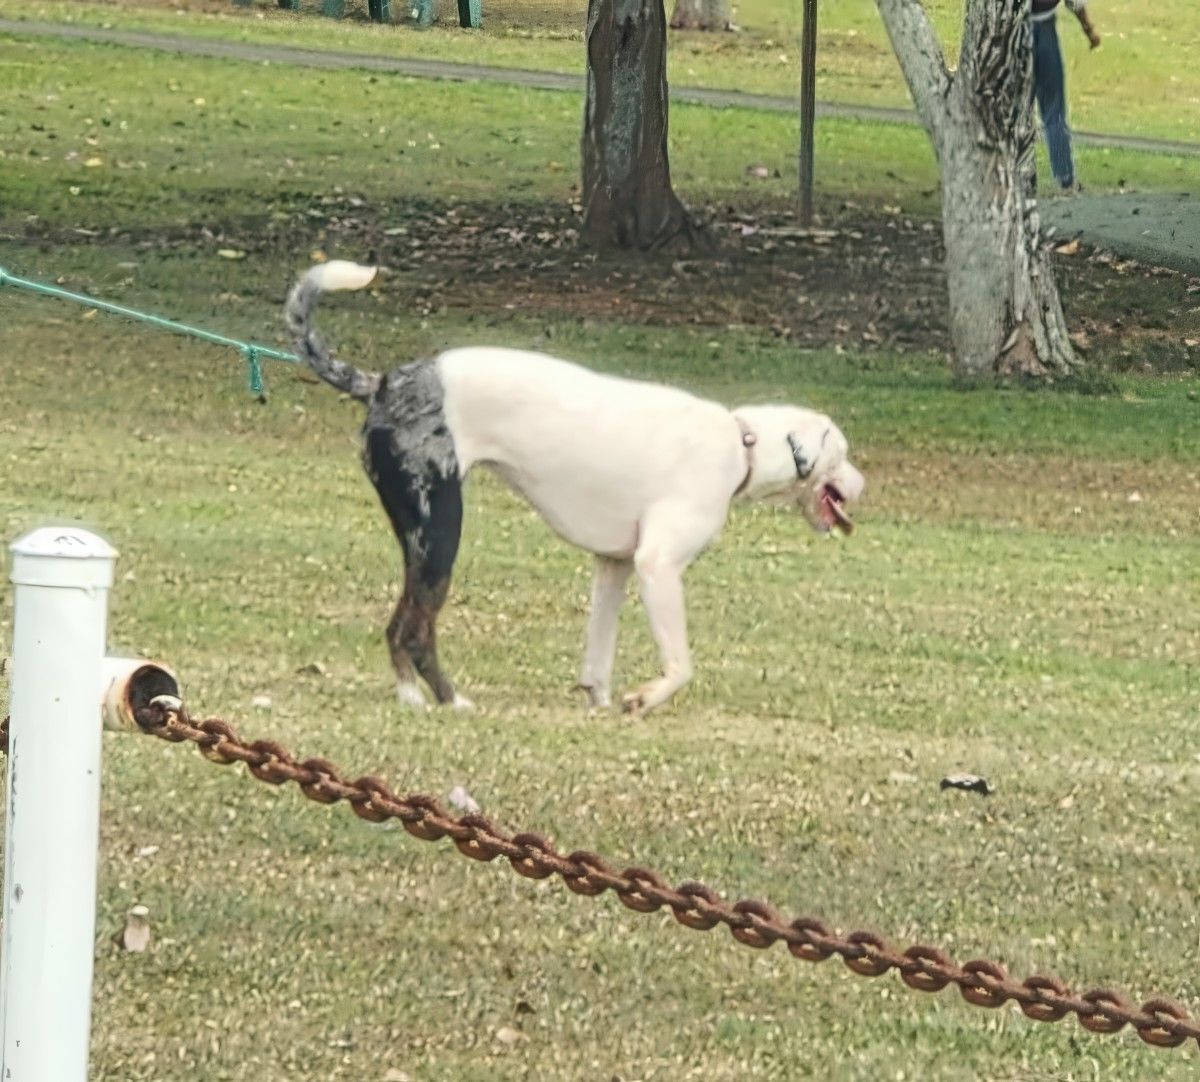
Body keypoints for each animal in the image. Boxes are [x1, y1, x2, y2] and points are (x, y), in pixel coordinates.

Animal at [283, 263, 864, 719]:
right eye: (843, 451)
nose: (863, 483)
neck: (742, 446)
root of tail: (383, 383)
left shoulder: (615, 567)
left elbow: (598, 658)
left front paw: (600, 701)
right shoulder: (658, 567)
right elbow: (680, 666)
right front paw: (643, 699)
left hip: (419, 542)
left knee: (398, 628)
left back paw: (415, 696)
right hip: (440, 535)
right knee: (414, 632)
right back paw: (447, 700)